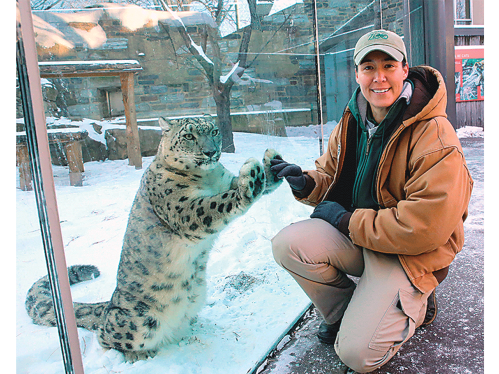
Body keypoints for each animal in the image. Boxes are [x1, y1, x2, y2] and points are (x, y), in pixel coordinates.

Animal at [25, 116, 284, 362]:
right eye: (189, 135)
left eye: (214, 131)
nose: (210, 152)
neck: (207, 177)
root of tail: (110, 302)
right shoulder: (184, 209)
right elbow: (217, 204)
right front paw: (252, 177)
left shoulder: (224, 181)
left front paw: (271, 163)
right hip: (138, 321)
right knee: (104, 334)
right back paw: (136, 354)